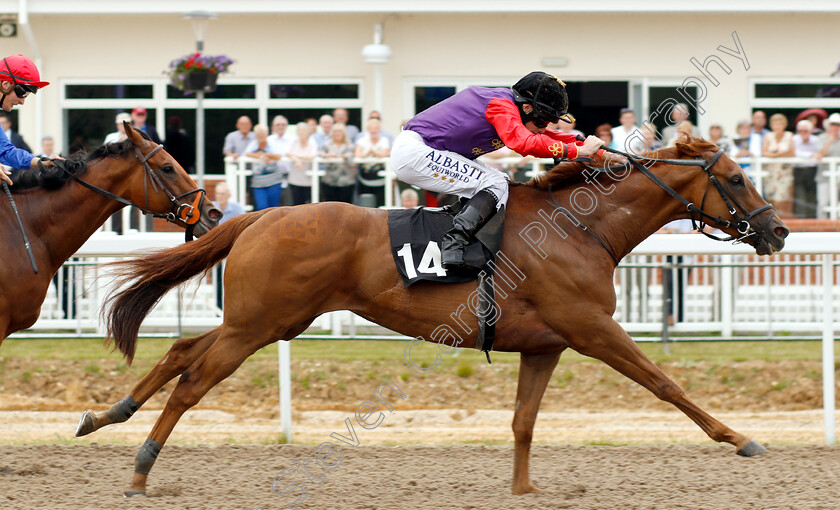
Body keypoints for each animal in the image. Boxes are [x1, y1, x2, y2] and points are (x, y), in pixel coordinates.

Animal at [80, 136, 788, 498]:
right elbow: (666, 384)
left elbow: (523, 422)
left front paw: (523, 491)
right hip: (259, 324)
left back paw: (105, 416)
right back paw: (140, 469)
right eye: (736, 178)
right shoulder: (592, 330)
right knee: (193, 383)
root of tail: (260, 213)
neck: (580, 225)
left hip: (267, 321)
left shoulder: (546, 345)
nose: (778, 231)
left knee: (180, 352)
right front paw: (740, 438)